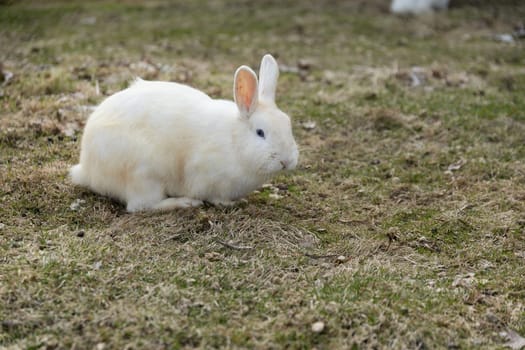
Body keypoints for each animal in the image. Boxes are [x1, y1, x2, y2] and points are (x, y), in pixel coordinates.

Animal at [70, 53, 298, 212]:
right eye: (260, 132)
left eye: (288, 124)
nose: (286, 161)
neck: (234, 142)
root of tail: (87, 170)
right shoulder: (208, 177)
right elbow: (215, 197)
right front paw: (229, 203)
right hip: (144, 175)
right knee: (141, 206)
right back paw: (184, 203)